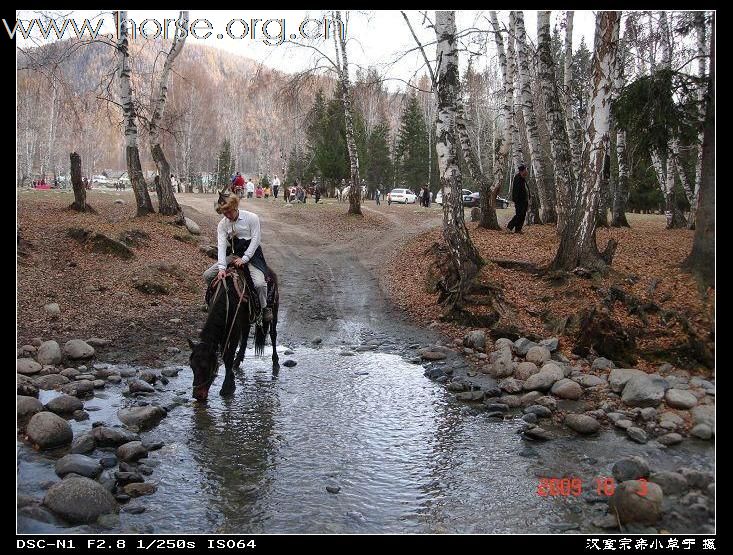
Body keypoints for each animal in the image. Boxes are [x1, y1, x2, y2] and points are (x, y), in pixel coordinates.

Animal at [189, 262, 280, 402]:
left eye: (205, 366)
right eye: (192, 366)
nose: (198, 395)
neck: (228, 299)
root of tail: (270, 272)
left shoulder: (234, 330)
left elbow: (228, 356)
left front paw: (227, 387)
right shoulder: (227, 329)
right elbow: (226, 354)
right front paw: (231, 378)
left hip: (274, 310)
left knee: (273, 334)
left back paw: (275, 362)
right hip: (246, 319)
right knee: (246, 334)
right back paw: (237, 361)